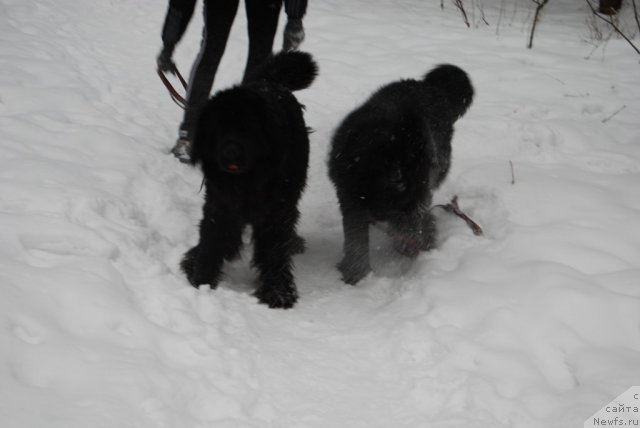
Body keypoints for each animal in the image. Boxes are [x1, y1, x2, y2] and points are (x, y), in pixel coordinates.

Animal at [181, 51, 316, 310]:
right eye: (218, 128)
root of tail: (269, 81)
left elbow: (274, 248)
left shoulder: (275, 210)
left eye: (248, 128)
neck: (246, 180)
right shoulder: (220, 203)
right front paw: (201, 279)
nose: (231, 151)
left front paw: (278, 291)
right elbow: (212, 237)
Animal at [328, 63, 472, 284]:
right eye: (399, 181)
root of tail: (430, 86)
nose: (421, 240)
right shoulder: (349, 197)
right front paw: (356, 274)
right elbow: (356, 239)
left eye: (423, 180)